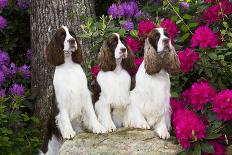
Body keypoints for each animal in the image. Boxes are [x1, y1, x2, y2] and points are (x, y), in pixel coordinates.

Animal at [40, 26, 106, 155]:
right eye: (62, 35)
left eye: (72, 34)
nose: (72, 41)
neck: (69, 66)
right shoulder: (61, 100)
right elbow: (64, 116)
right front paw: (68, 132)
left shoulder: (85, 96)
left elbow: (91, 113)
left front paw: (98, 127)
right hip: (50, 146)